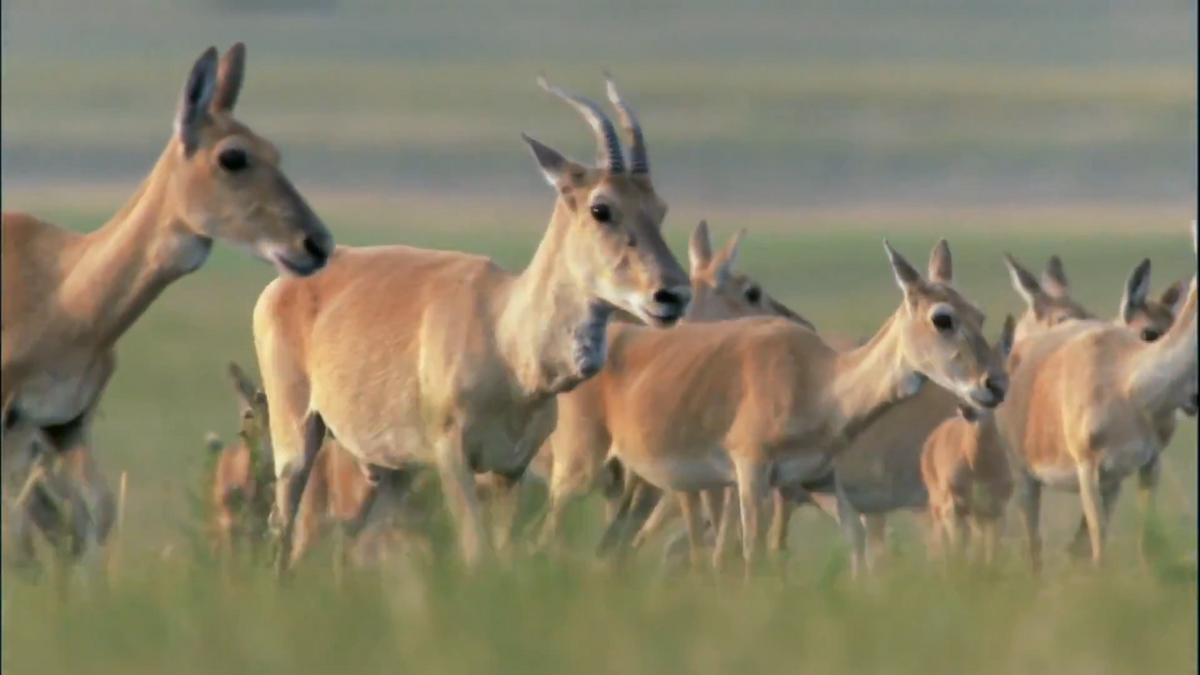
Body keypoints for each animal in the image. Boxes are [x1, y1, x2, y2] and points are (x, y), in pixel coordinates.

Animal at [0, 43, 333, 566]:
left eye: (274, 150)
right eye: (232, 155)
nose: (316, 243)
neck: (60, 291)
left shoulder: (65, 427)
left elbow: (93, 518)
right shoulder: (14, 426)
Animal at [259, 72, 696, 566]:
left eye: (659, 207)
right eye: (600, 207)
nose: (672, 295)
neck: (503, 330)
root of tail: (285, 286)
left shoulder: (510, 471)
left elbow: (501, 552)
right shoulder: (454, 460)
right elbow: (475, 549)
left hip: (391, 470)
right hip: (298, 439)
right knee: (283, 526)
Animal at [585, 237, 998, 578]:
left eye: (980, 314)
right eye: (942, 317)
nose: (993, 384)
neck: (820, 383)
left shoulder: (821, 488)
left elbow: (854, 553)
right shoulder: (752, 476)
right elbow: (752, 555)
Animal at [921, 314, 1017, 562]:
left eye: (1001, 376)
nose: (967, 408)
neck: (979, 466)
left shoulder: (994, 513)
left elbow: (990, 556)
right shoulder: (955, 511)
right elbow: (958, 556)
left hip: (976, 519)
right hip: (940, 511)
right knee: (938, 546)